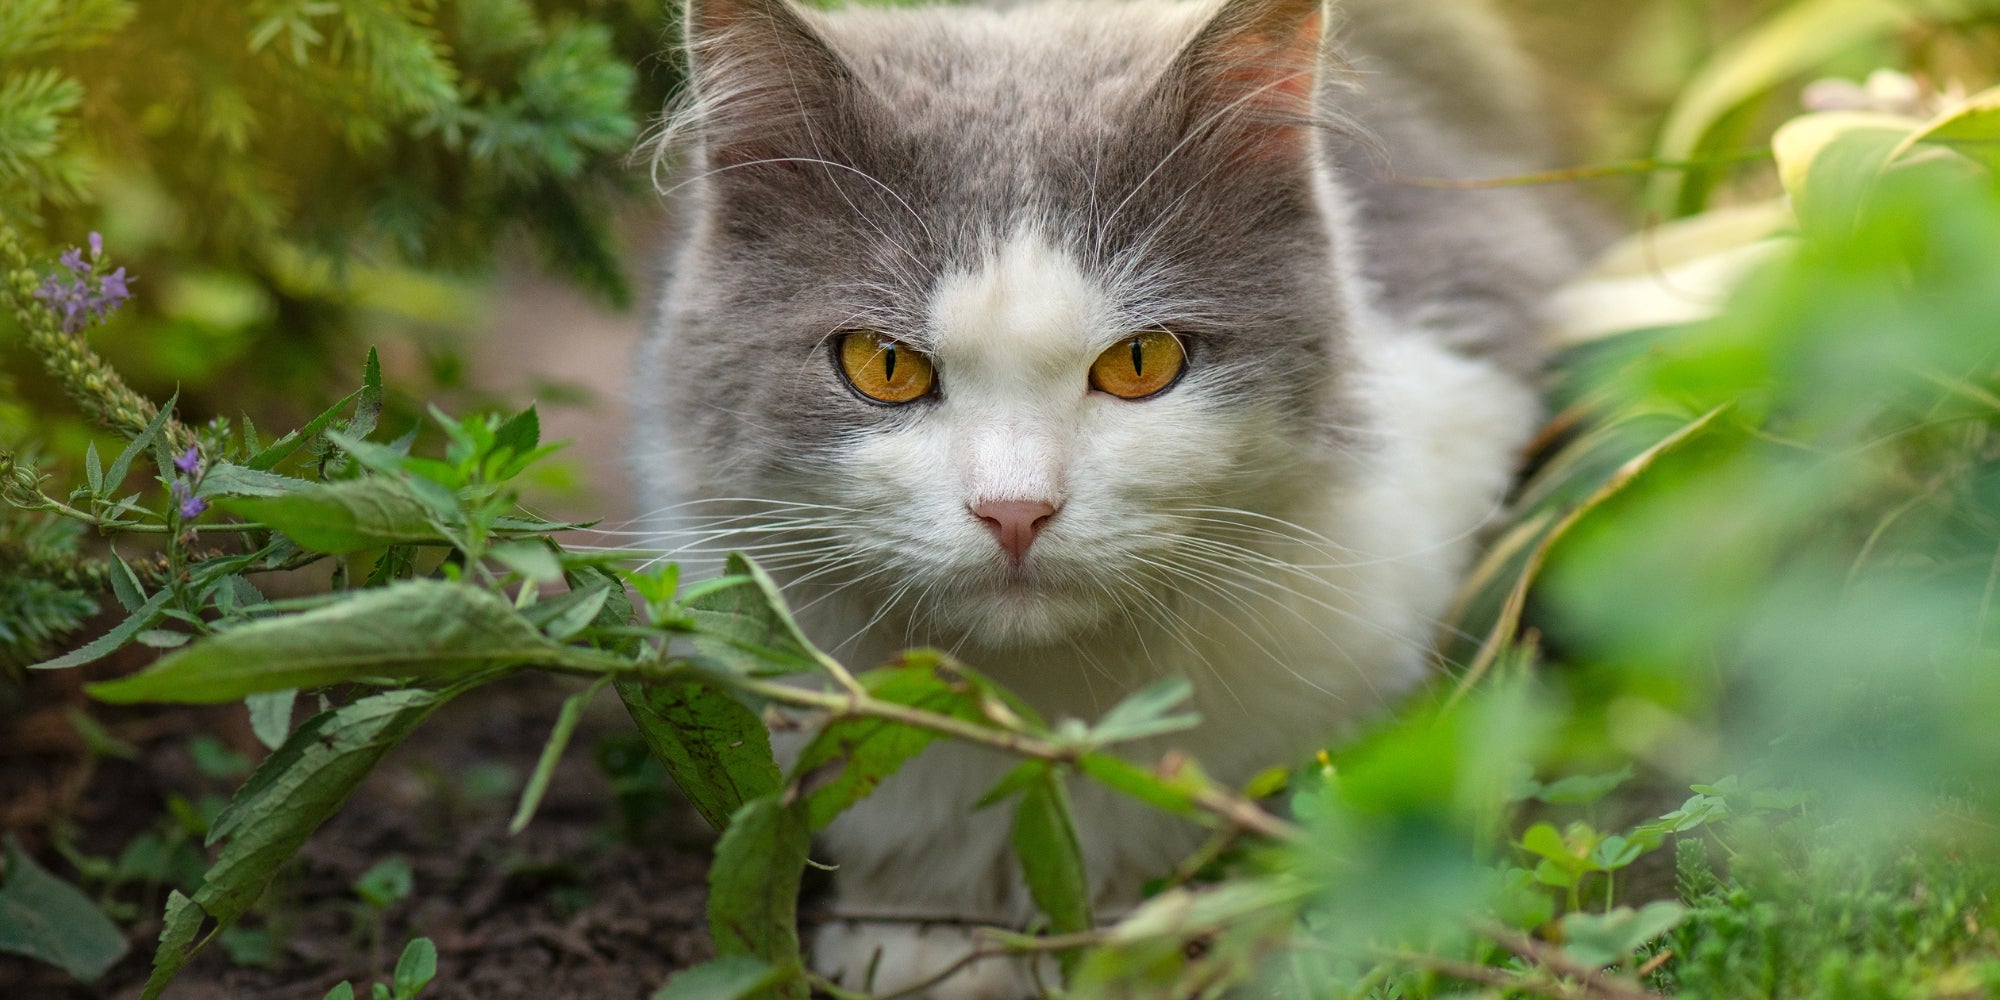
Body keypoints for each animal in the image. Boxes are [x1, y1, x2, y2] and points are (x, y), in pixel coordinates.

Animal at [632, 0, 1584, 992]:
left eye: (1141, 362)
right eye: (883, 364)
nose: (1015, 511)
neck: (1039, 709)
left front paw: (1147, 938)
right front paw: (914, 936)